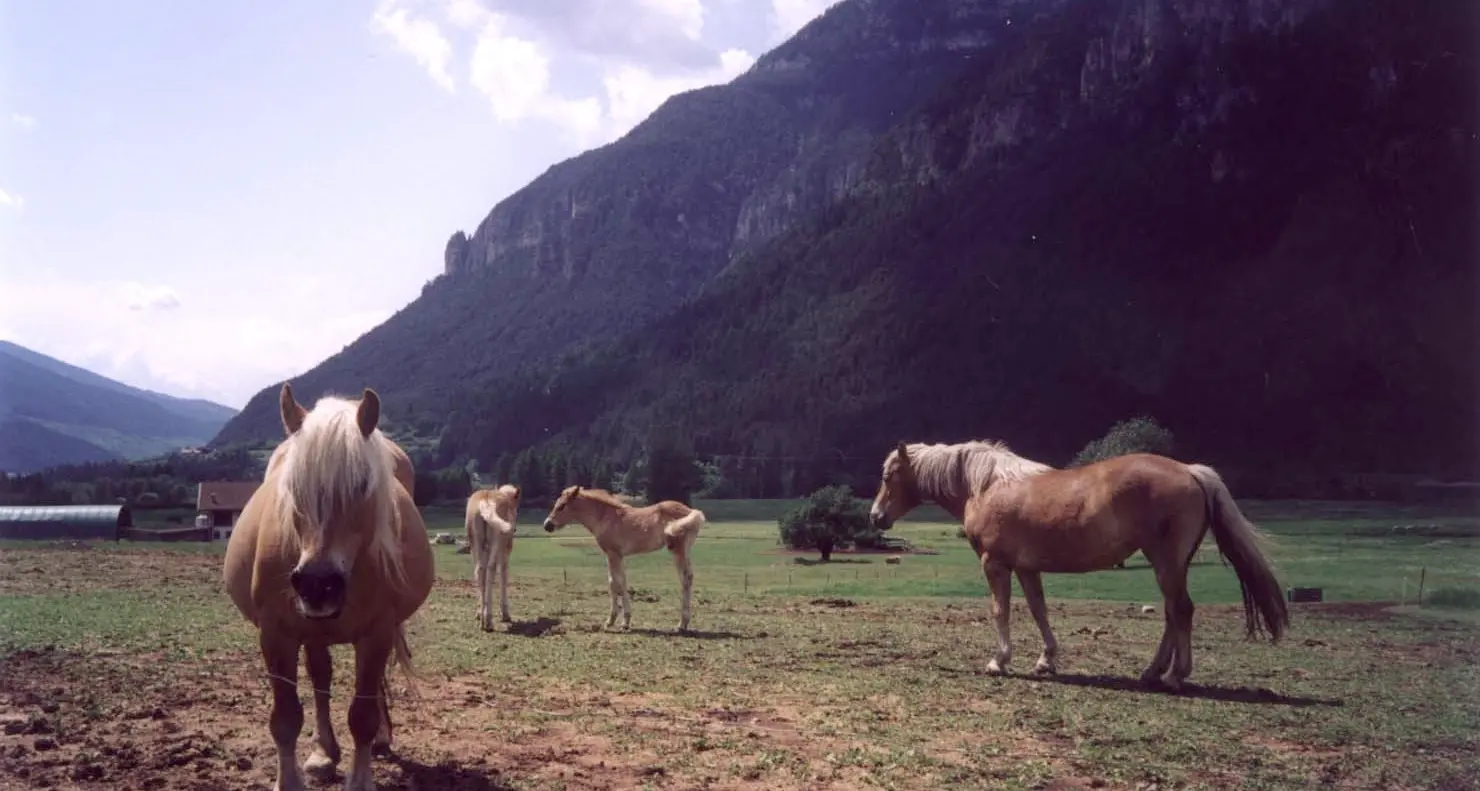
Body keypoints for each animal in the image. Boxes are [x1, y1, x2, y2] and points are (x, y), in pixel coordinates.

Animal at [222, 384, 436, 791]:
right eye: (292, 486)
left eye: (362, 484)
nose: (317, 584)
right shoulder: (276, 634)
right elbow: (285, 718)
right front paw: (289, 780)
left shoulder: (377, 632)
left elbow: (362, 717)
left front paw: (361, 776)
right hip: (313, 630)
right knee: (321, 677)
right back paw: (323, 753)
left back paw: (380, 737)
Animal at [464, 484, 521, 631]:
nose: (514, 528)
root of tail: (486, 499)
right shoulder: (505, 551)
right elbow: (504, 574)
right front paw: (505, 614)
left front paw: (479, 612)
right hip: (496, 541)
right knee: (491, 569)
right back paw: (488, 620)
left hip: (475, 543)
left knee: (479, 570)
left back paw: (482, 619)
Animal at [541, 485, 705, 632]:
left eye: (562, 506)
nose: (547, 525)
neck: (604, 517)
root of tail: (691, 511)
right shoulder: (615, 555)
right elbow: (617, 582)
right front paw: (618, 621)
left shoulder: (613, 554)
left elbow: (616, 583)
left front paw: (619, 621)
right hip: (685, 551)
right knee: (689, 577)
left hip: (678, 551)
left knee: (685, 579)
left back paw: (681, 625)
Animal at [868, 440, 1288, 690]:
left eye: (889, 476)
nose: (875, 516)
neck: (986, 486)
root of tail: (1189, 471)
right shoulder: (1027, 568)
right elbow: (1039, 610)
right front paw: (1045, 660)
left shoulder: (996, 564)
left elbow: (1001, 610)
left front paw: (999, 661)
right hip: (1170, 566)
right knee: (1173, 613)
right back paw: (1152, 671)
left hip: (1166, 562)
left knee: (1181, 610)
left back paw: (1173, 675)